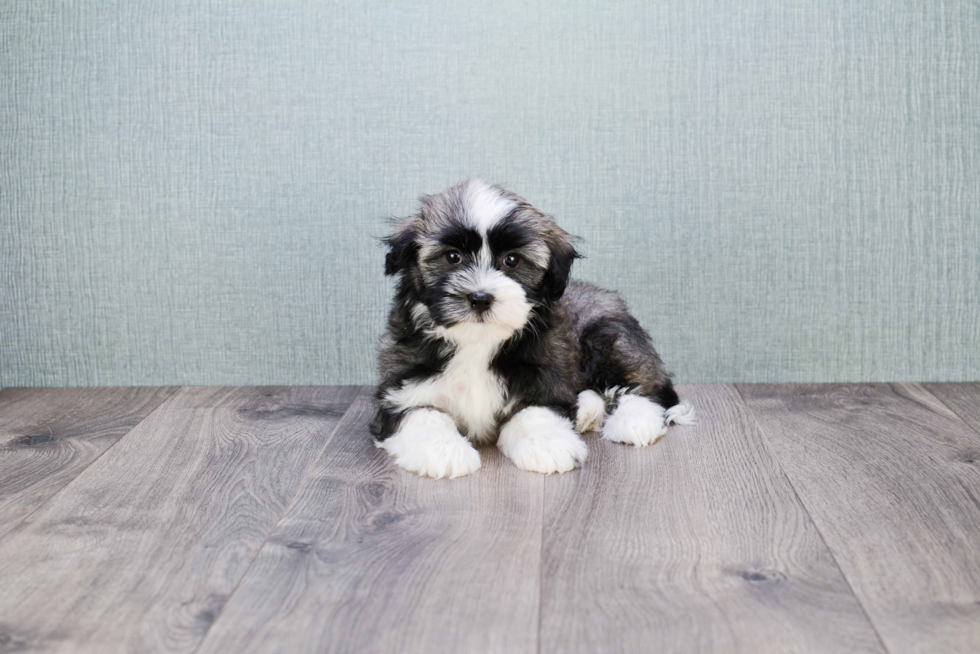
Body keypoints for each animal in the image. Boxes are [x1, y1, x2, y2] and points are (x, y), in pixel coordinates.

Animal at [370, 182, 696, 480]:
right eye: (452, 257)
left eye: (512, 260)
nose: (480, 297)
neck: (477, 343)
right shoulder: (402, 385)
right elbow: (420, 414)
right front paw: (443, 450)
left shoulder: (546, 376)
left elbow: (535, 413)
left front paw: (546, 443)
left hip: (606, 333)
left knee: (642, 384)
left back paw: (634, 420)